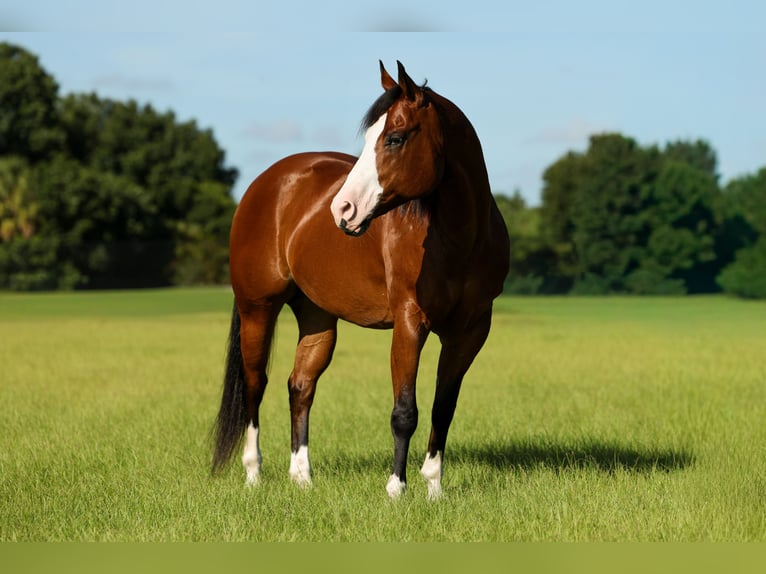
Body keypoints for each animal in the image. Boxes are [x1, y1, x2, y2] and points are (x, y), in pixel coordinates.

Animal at [212, 61, 509, 499]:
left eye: (395, 138)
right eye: (370, 137)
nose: (343, 209)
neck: (459, 238)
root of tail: (267, 182)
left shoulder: (470, 331)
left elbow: (443, 407)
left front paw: (434, 488)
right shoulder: (409, 321)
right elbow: (405, 411)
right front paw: (396, 489)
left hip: (316, 316)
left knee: (300, 385)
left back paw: (302, 479)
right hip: (257, 308)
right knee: (254, 383)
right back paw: (253, 475)